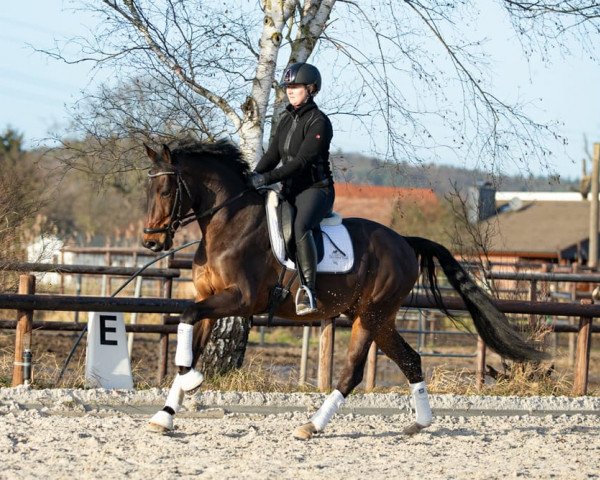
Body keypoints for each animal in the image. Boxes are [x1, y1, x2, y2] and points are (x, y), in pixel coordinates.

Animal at [143, 140, 548, 438]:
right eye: (150, 189)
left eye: (165, 189)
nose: (151, 242)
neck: (229, 224)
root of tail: (404, 241)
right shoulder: (208, 299)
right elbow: (190, 332)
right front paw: (166, 414)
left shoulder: (239, 300)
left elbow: (187, 318)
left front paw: (191, 380)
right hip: (378, 317)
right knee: (411, 360)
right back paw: (420, 422)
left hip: (370, 315)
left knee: (352, 371)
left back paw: (312, 425)